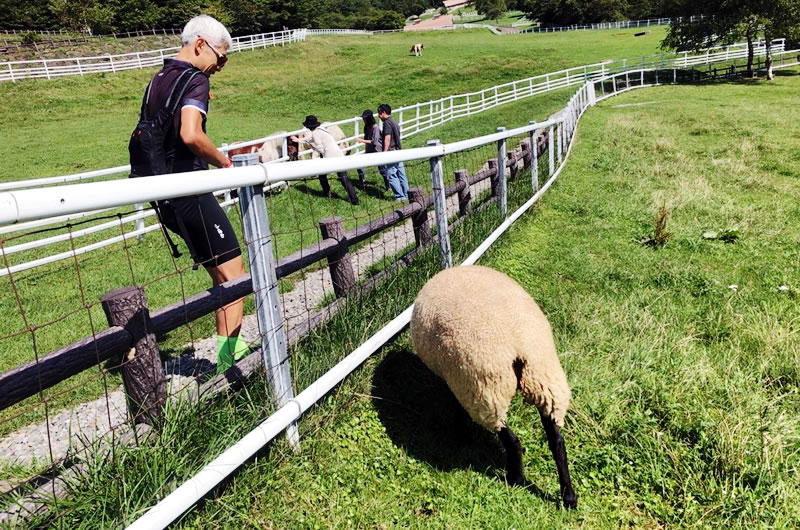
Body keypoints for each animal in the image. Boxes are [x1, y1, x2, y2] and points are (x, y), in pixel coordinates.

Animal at [412, 264, 576, 508]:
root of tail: (519, 349)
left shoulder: (457, 383)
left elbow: (456, 407)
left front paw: (462, 436)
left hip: (486, 391)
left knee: (513, 441)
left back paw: (516, 478)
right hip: (547, 383)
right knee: (557, 442)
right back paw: (569, 497)